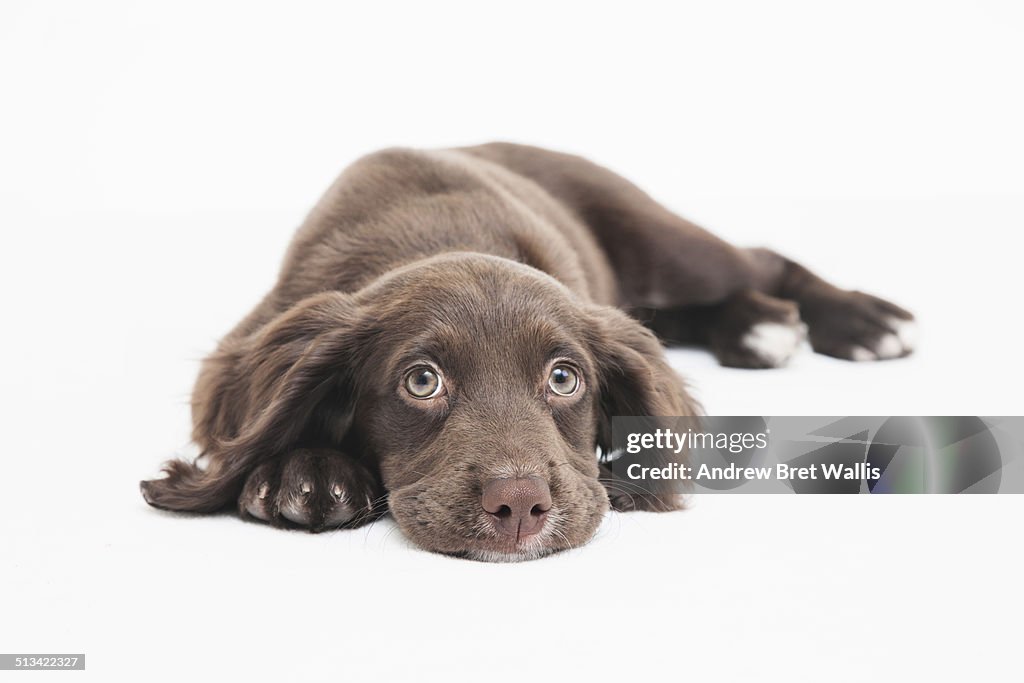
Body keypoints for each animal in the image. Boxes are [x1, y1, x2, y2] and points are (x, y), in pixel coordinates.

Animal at [140, 143, 917, 561]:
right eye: (421, 381)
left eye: (564, 377)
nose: (519, 507)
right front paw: (302, 472)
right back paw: (756, 327)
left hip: (662, 239)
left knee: (761, 259)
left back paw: (860, 320)